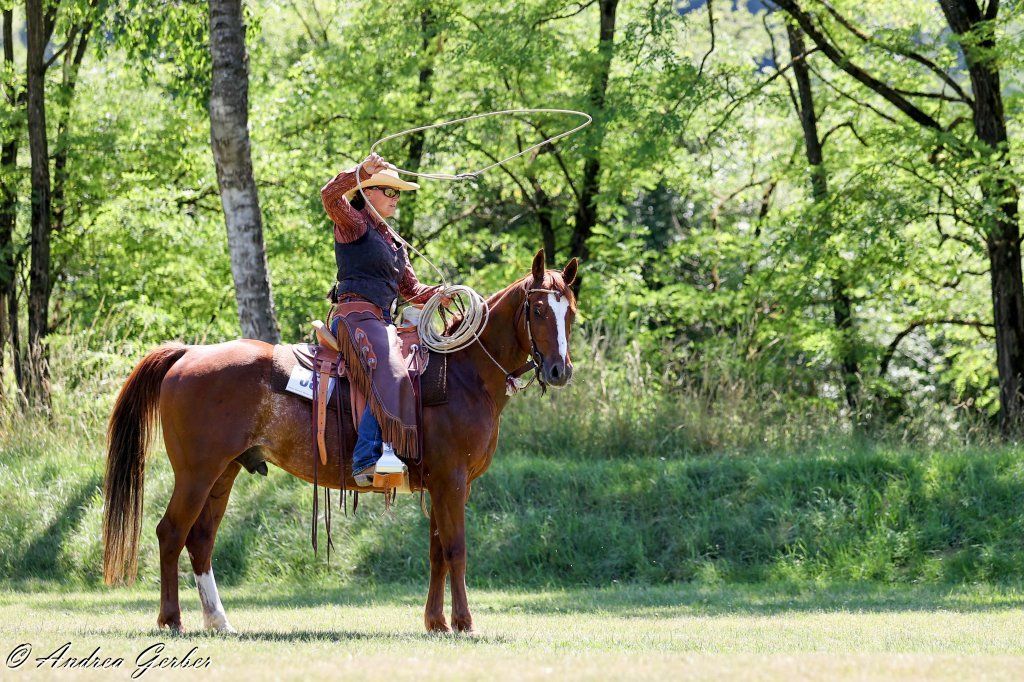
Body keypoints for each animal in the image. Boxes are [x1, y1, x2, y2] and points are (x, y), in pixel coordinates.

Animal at [101, 249, 578, 634]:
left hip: (225, 471)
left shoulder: (447, 484)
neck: (463, 373)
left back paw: (218, 620)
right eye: (537, 309)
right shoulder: (452, 478)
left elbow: (437, 551)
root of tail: (189, 353)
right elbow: (456, 548)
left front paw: (436, 622)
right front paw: (463, 622)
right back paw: (171, 619)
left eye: (569, 312)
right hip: (196, 472)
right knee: (170, 532)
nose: (559, 370)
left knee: (200, 539)